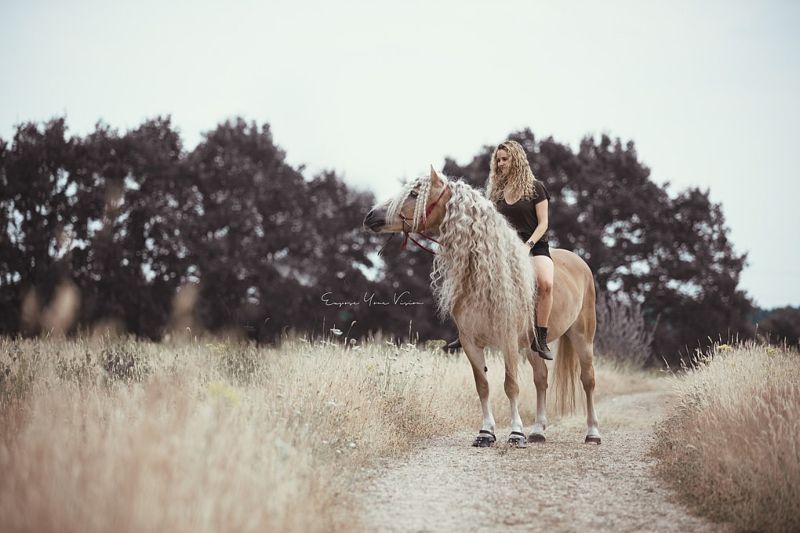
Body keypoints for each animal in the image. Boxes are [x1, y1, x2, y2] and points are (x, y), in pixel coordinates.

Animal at [362, 166, 600, 444]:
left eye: (414, 194)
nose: (370, 216)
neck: (485, 277)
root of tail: (580, 263)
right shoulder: (470, 343)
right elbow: (483, 386)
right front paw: (486, 433)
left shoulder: (508, 341)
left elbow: (511, 386)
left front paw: (516, 433)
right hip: (533, 347)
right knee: (541, 379)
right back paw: (538, 431)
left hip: (582, 337)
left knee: (588, 380)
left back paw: (592, 433)